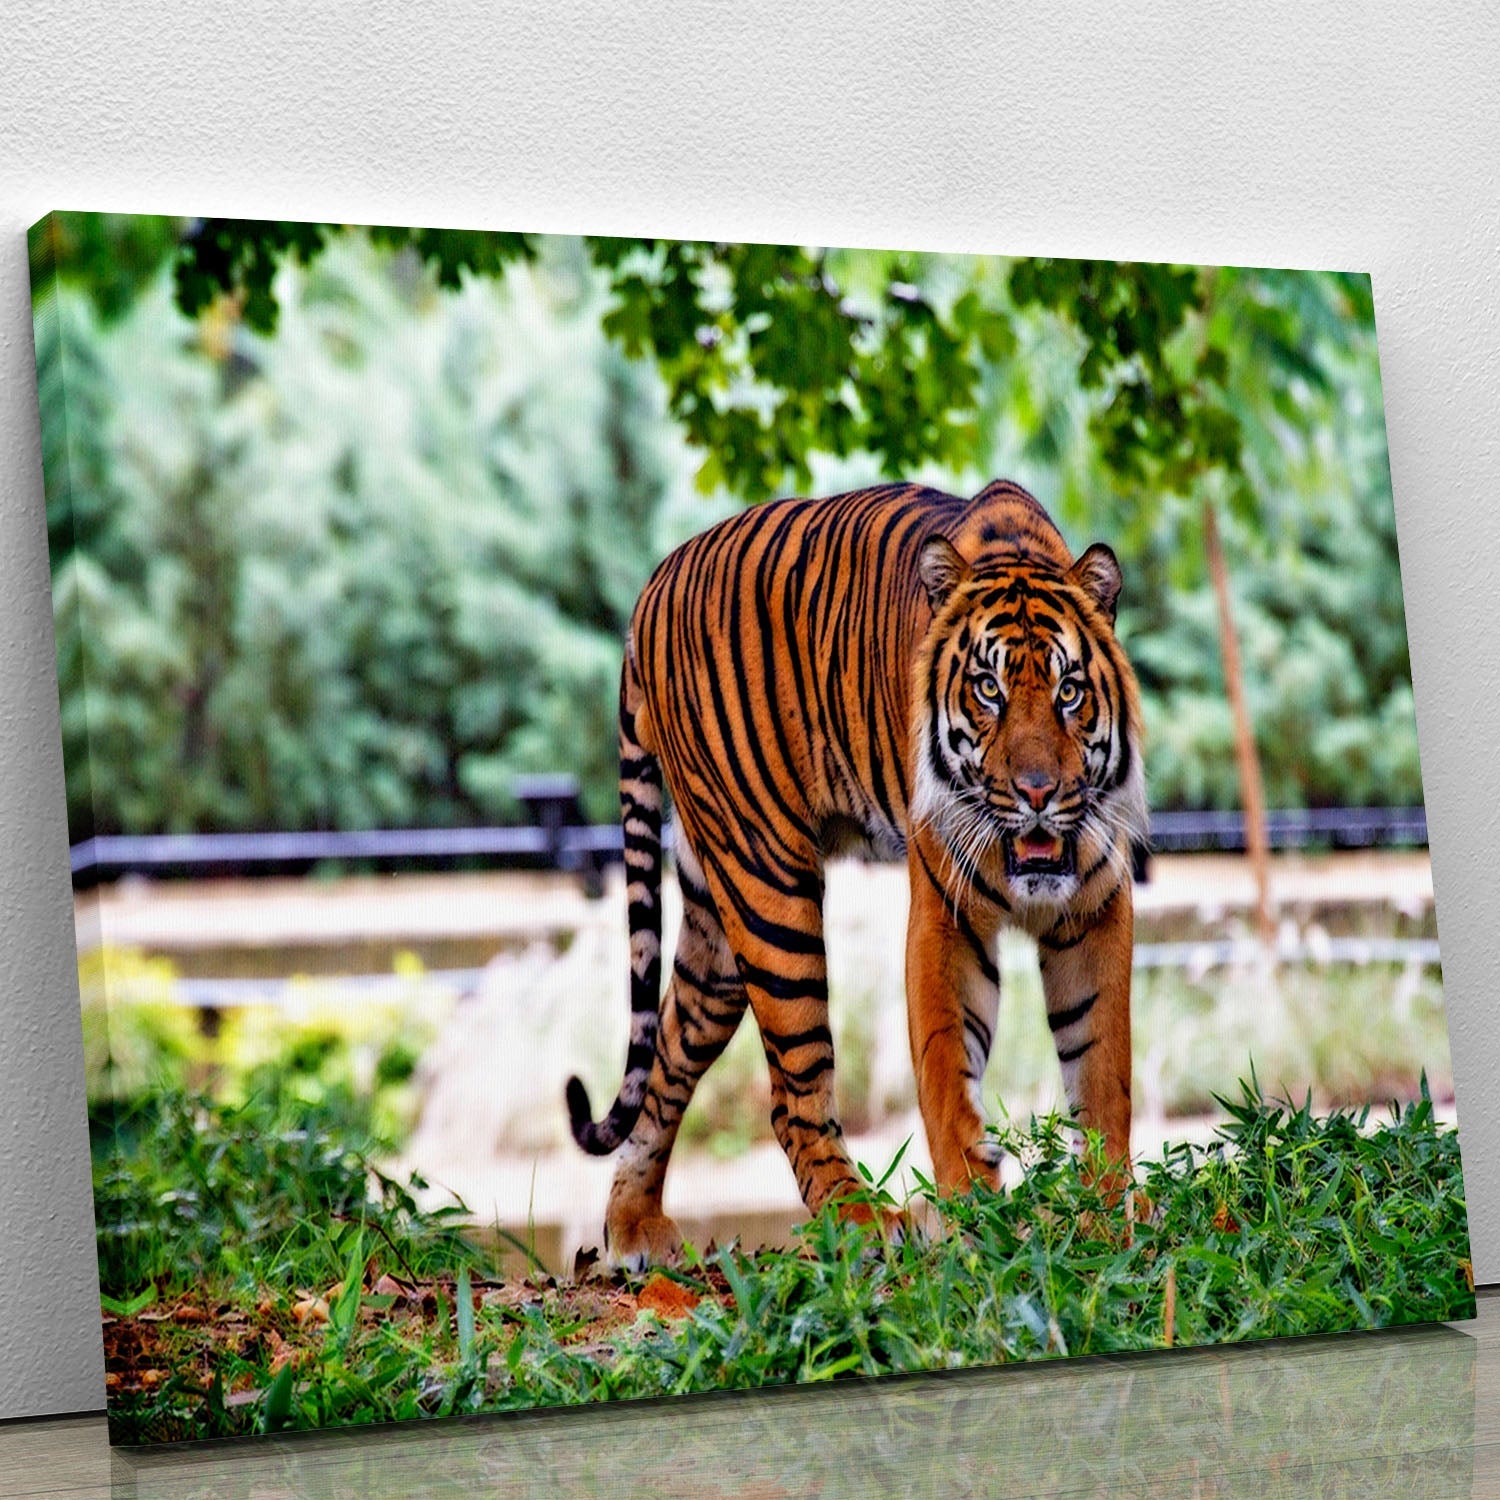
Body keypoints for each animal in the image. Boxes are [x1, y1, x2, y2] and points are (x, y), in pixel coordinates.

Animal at [566, 478, 1147, 1269]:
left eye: (1069, 692)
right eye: (988, 690)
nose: (1037, 792)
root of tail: (652, 585)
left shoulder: (1095, 907)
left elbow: (1102, 1066)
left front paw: (1106, 1208)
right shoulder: (946, 915)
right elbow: (945, 1069)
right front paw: (974, 1212)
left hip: (715, 926)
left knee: (666, 1057)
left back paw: (633, 1226)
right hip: (768, 887)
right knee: (793, 1094)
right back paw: (861, 1219)